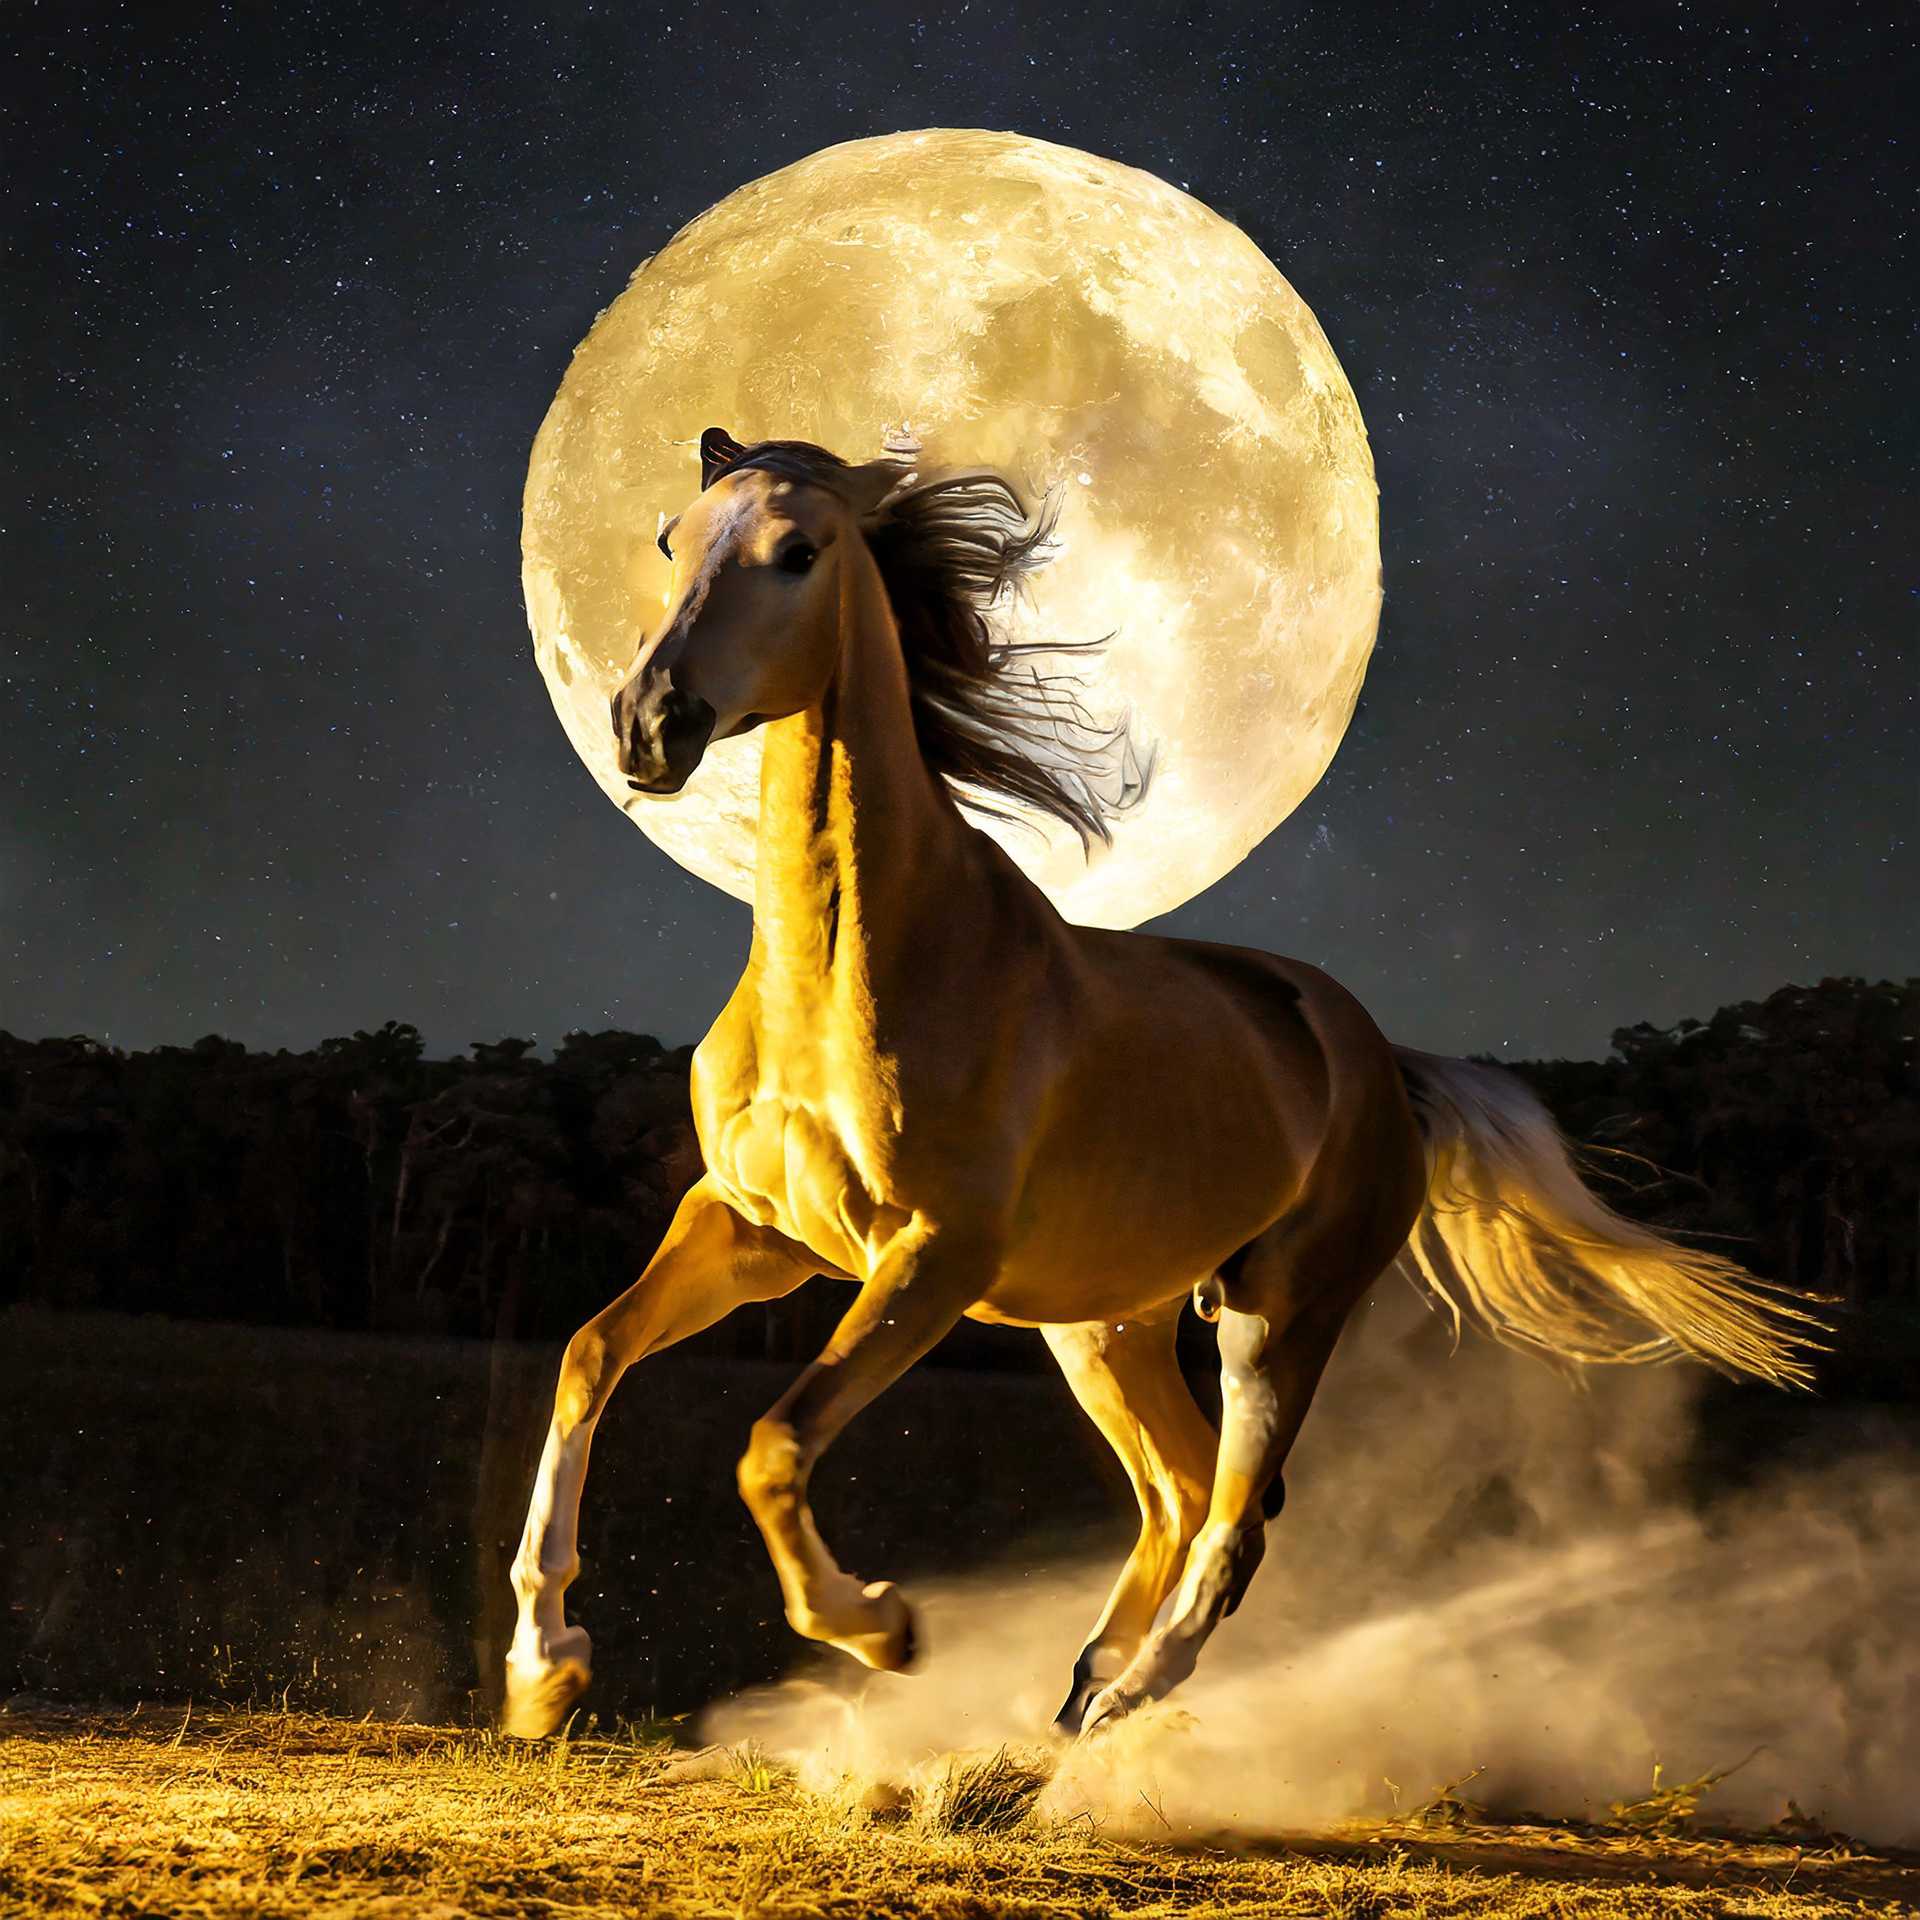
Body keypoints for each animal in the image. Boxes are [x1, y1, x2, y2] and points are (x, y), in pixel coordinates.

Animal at [501, 428, 1812, 1742]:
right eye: (671, 540)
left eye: (798, 551)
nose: (646, 725)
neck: (844, 974)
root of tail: (1383, 1064)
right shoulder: (752, 1230)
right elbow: (589, 1355)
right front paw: (544, 1665)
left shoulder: (930, 1255)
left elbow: (770, 1444)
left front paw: (880, 1625)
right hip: (1105, 1326)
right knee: (1181, 1492)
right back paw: (1081, 1690)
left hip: (1279, 1320)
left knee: (1234, 1520)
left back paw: (1125, 1695)